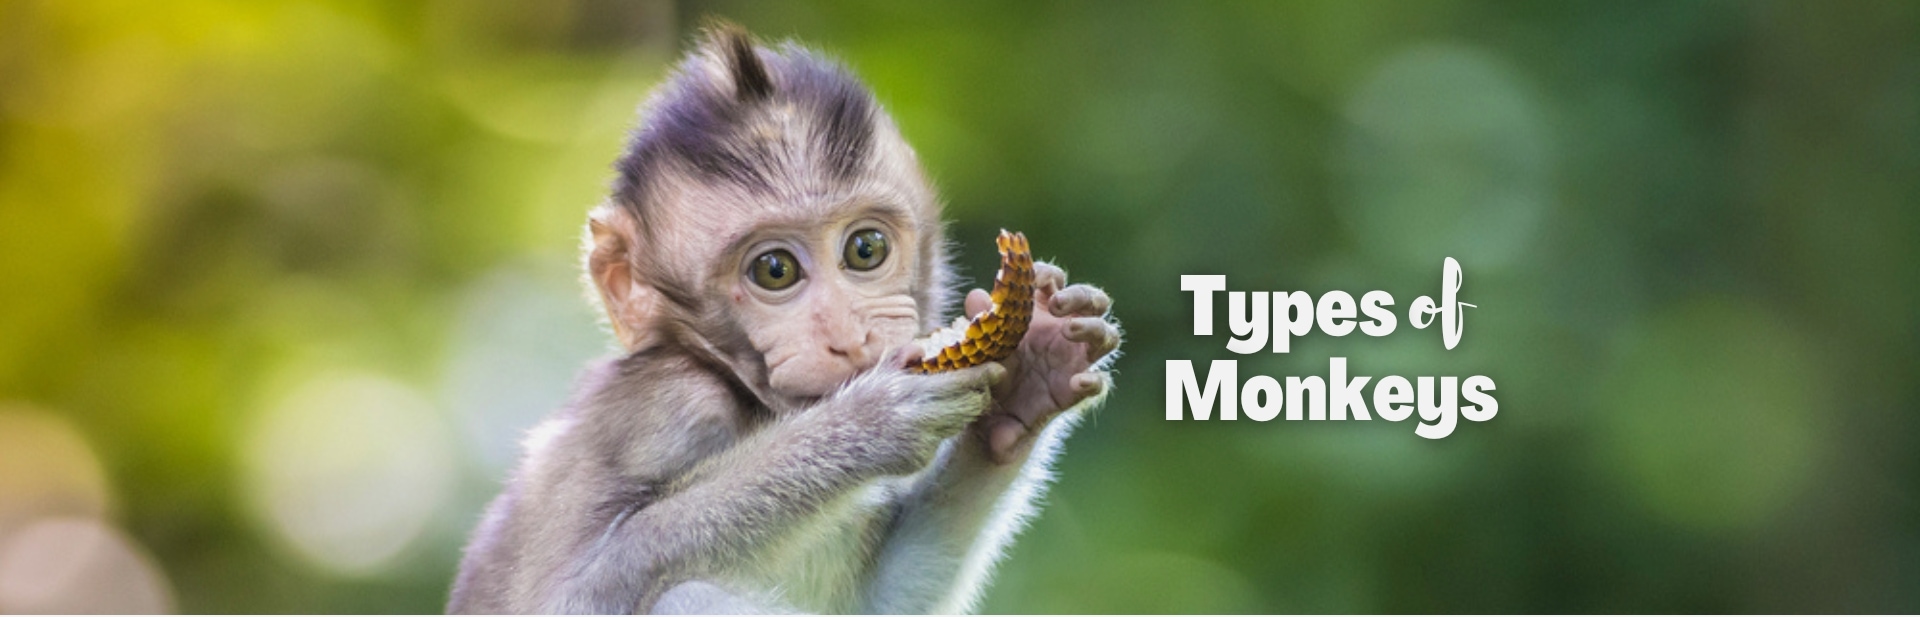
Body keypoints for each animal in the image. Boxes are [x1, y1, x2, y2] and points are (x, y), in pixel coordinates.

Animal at [446, 23, 1121, 614]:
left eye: (866, 249)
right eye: (775, 270)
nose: (849, 336)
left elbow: (882, 600)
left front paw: (1037, 370)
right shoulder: (662, 410)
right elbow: (568, 596)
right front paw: (862, 426)